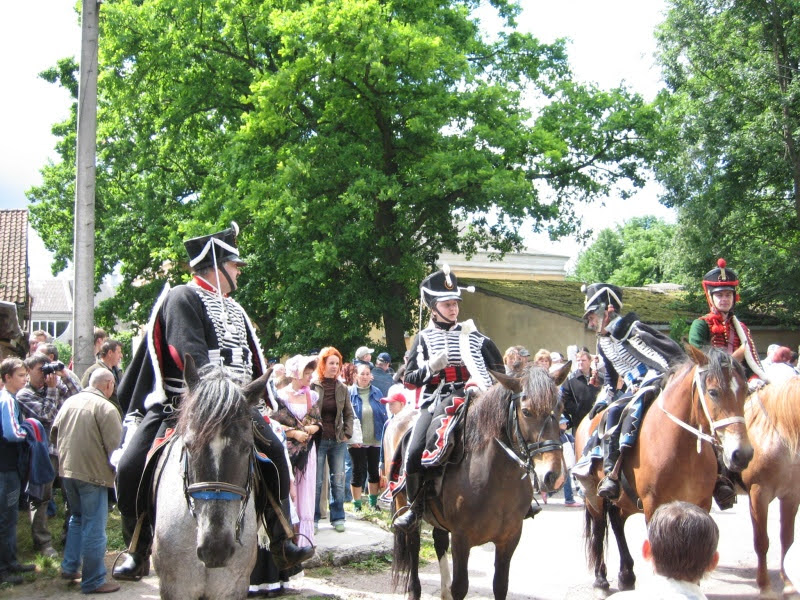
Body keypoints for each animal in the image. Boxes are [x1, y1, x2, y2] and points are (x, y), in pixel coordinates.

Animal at [392, 364, 572, 596]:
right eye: (526, 411)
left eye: (560, 407)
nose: (554, 476)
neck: (497, 481)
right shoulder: (461, 539)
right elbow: (460, 587)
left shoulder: (509, 538)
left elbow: (501, 585)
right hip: (405, 509)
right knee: (413, 552)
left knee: (439, 541)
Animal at [576, 344, 752, 596]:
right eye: (713, 392)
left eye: (745, 391)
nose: (742, 453)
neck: (682, 447)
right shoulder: (653, 504)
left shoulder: (701, 503)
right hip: (594, 496)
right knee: (600, 527)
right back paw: (601, 580)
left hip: (624, 499)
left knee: (617, 522)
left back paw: (626, 575)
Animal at [736, 378, 800, 596]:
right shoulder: (758, 493)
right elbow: (762, 542)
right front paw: (764, 586)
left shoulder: (791, 495)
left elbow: (787, 539)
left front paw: (789, 584)